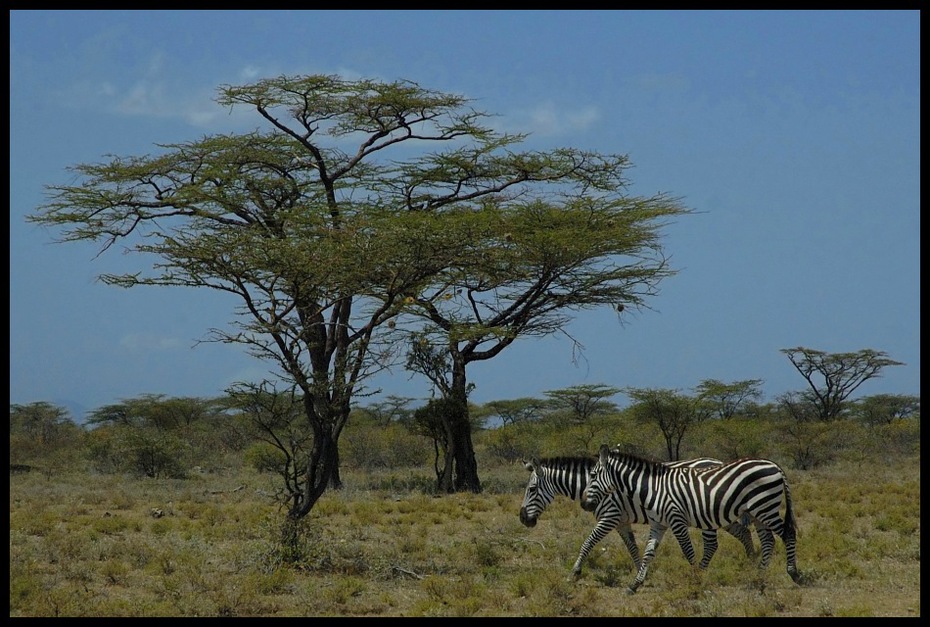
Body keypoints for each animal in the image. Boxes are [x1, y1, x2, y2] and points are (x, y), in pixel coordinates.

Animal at [520, 452, 756, 580]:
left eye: (531, 489)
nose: (523, 519)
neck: (593, 484)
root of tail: (717, 462)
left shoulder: (610, 516)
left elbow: (588, 542)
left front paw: (575, 571)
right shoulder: (621, 521)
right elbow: (632, 547)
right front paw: (641, 572)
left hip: (709, 515)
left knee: (718, 541)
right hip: (722, 515)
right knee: (743, 532)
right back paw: (750, 564)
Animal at [580, 446, 796, 592]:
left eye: (593, 475)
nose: (584, 505)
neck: (653, 489)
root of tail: (774, 465)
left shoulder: (676, 519)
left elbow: (688, 551)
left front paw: (696, 579)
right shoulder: (658, 524)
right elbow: (648, 553)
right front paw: (635, 584)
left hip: (766, 508)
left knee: (788, 533)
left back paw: (794, 574)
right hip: (758, 513)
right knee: (768, 540)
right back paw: (759, 575)